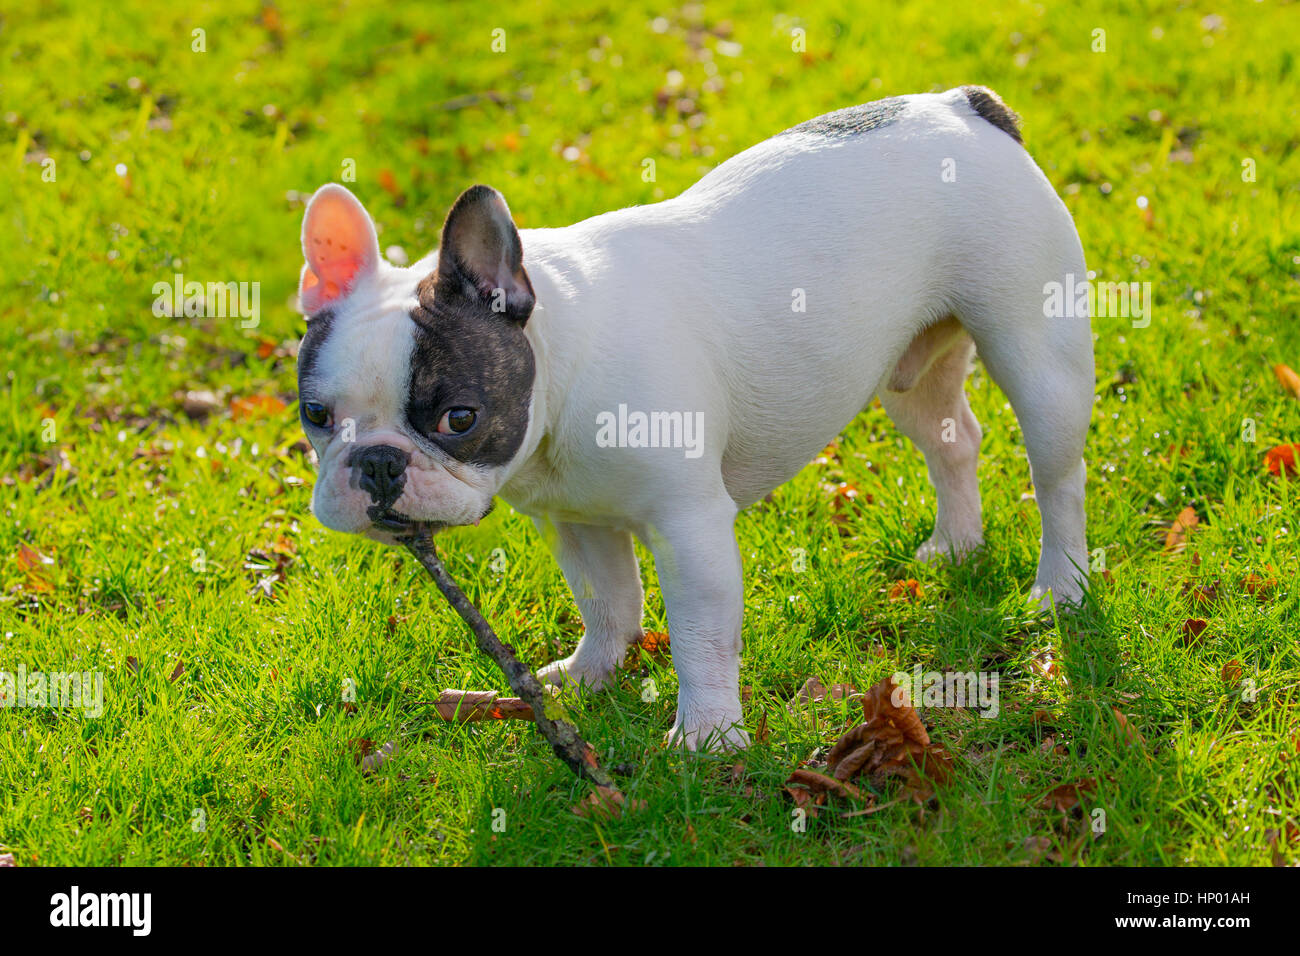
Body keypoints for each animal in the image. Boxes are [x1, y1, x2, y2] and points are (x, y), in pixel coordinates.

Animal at [297, 85, 1097, 749]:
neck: (560, 361)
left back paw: (1061, 587)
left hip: (1036, 355)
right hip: (912, 372)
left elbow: (699, 635)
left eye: (459, 419)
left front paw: (709, 737)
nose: (376, 463)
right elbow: (608, 602)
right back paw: (956, 545)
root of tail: (963, 104)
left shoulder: (689, 526)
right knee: (953, 442)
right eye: (315, 415)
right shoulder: (577, 521)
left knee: (1056, 477)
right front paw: (589, 676)